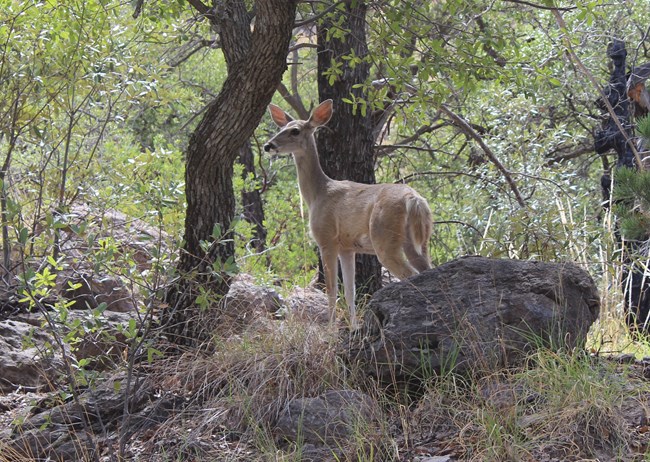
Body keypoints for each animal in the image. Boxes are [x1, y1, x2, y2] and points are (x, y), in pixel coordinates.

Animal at [264, 99, 430, 326]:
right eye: (281, 128)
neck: (318, 194)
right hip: (418, 241)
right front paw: (353, 327)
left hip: (384, 238)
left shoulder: (326, 239)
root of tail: (414, 200)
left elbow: (332, 290)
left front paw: (331, 328)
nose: (268, 146)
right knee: (426, 269)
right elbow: (350, 292)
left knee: (409, 274)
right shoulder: (347, 247)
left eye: (295, 131)